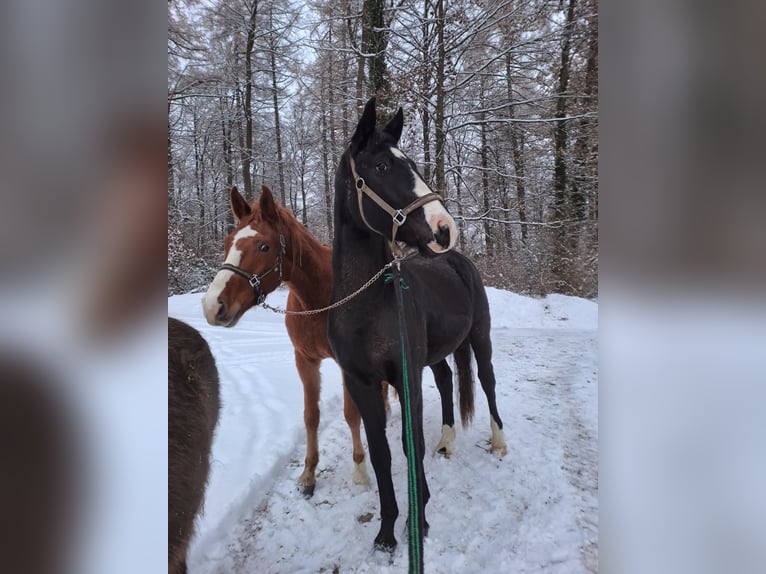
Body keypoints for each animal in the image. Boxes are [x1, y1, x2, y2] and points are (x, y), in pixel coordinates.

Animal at [327, 98, 507, 568]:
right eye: (382, 167)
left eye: (412, 163)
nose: (445, 229)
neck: (366, 306)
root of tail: (457, 261)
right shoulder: (363, 383)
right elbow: (383, 453)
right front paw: (388, 533)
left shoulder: (405, 376)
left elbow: (412, 446)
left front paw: (418, 519)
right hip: (438, 354)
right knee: (445, 382)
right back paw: (447, 440)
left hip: (480, 340)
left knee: (487, 382)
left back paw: (499, 442)